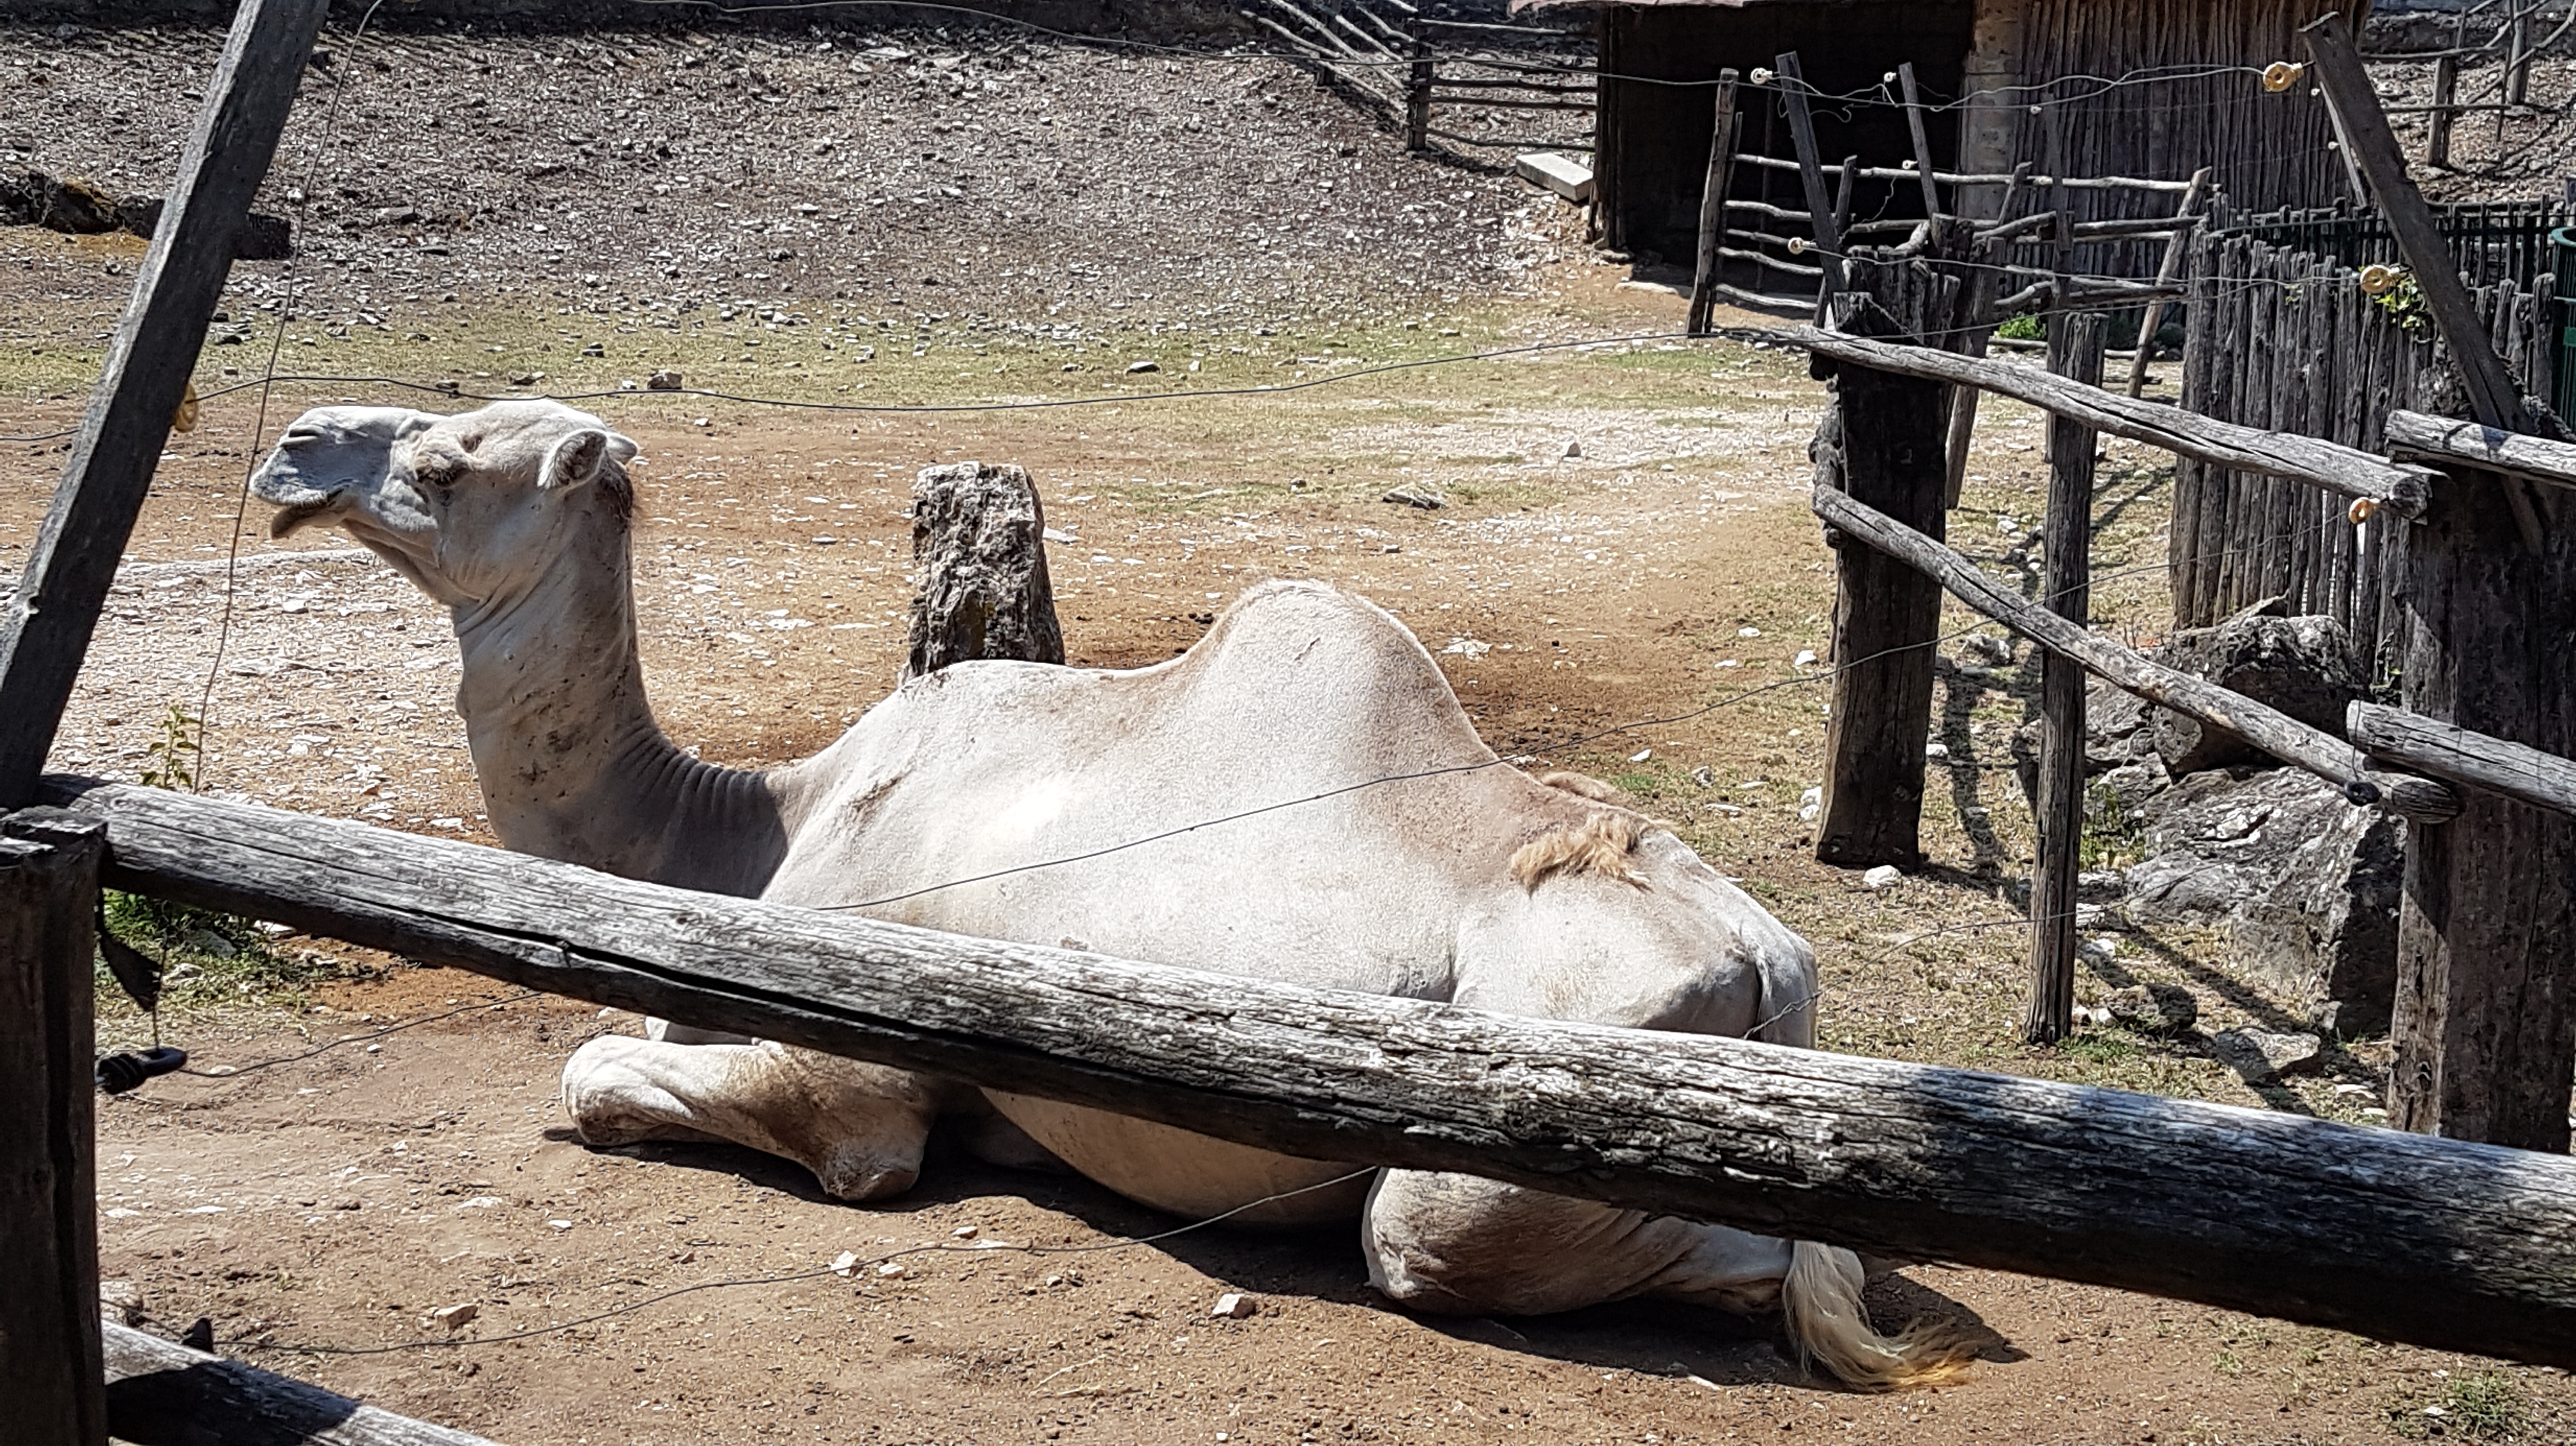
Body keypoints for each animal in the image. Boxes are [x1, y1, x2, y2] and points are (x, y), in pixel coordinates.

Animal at [251, 396, 1958, 1389]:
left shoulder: (854, 1077)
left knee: (1510, 1244)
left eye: (445, 459)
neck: (758, 829)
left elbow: (609, 1074)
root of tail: (1768, 964)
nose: (292, 450)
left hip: (1514, 1133)